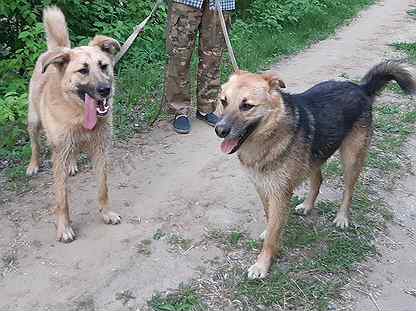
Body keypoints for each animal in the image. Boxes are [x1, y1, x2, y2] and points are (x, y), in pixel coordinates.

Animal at [26, 6, 121, 243]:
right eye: (83, 70)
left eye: (104, 66)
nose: (105, 90)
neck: (78, 115)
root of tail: (58, 49)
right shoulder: (59, 155)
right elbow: (62, 199)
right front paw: (64, 228)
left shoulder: (101, 151)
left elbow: (103, 188)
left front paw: (106, 213)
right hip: (33, 121)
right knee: (34, 144)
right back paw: (33, 164)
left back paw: (72, 164)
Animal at [214, 62, 416, 280]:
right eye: (224, 101)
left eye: (247, 106)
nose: (219, 130)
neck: (270, 136)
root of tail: (360, 88)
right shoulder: (262, 187)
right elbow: (270, 219)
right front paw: (269, 233)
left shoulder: (279, 194)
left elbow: (272, 236)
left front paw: (262, 264)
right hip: (314, 158)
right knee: (318, 179)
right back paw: (307, 205)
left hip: (351, 159)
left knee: (348, 191)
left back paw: (342, 218)